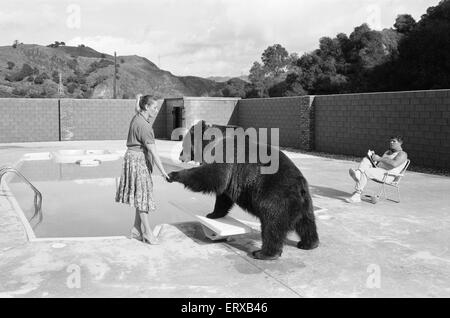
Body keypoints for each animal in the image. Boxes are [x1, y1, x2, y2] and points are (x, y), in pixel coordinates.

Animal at [167, 120, 318, 260]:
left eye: (184, 145)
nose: (180, 156)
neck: (212, 142)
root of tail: (300, 185)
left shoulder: (225, 155)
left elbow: (212, 177)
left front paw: (174, 174)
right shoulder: (232, 177)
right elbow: (223, 197)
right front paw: (213, 214)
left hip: (275, 195)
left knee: (272, 223)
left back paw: (263, 253)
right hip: (305, 201)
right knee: (307, 223)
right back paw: (308, 243)